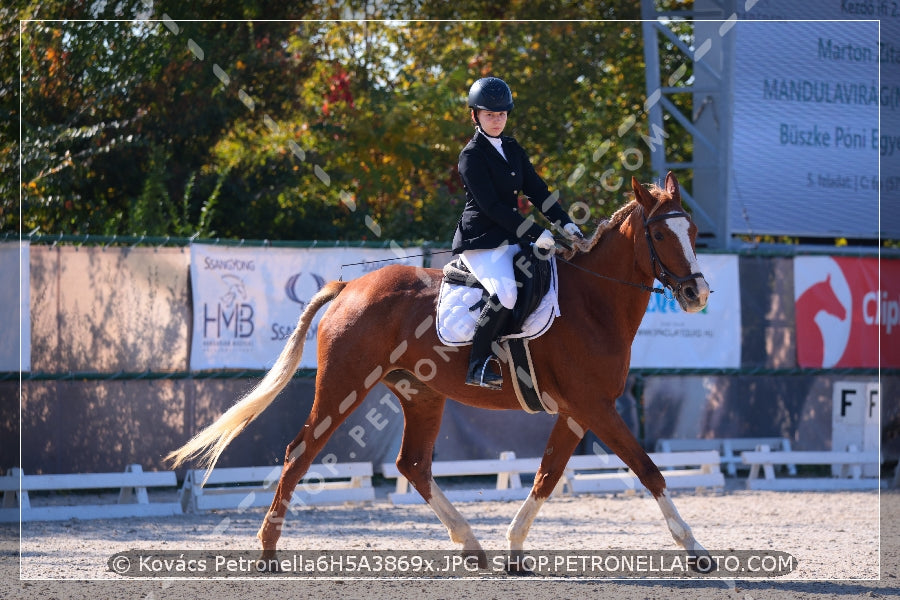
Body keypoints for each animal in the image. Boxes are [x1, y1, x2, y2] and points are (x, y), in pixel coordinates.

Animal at [169, 172, 712, 568]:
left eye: (693, 233)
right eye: (659, 233)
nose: (697, 294)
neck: (594, 302)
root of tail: (349, 287)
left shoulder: (577, 412)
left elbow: (546, 475)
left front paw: (515, 548)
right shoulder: (595, 407)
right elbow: (647, 469)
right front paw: (696, 550)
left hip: (421, 394)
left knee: (413, 464)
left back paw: (472, 546)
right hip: (344, 386)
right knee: (300, 452)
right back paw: (267, 552)